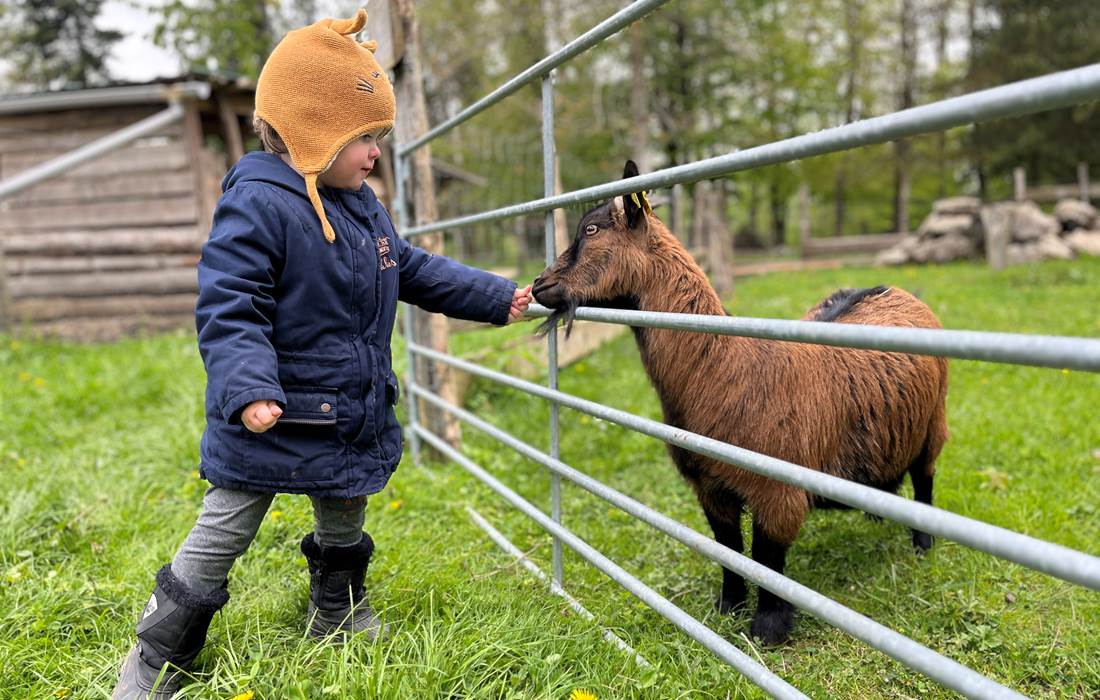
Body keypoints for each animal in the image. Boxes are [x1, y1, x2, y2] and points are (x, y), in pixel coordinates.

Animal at [532, 160, 949, 645]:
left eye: (592, 229)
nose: (540, 285)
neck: (727, 366)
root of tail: (890, 288)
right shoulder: (710, 486)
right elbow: (729, 548)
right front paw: (728, 607)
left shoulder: (778, 490)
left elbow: (768, 559)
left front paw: (769, 627)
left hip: (934, 422)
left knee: (924, 479)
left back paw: (922, 545)